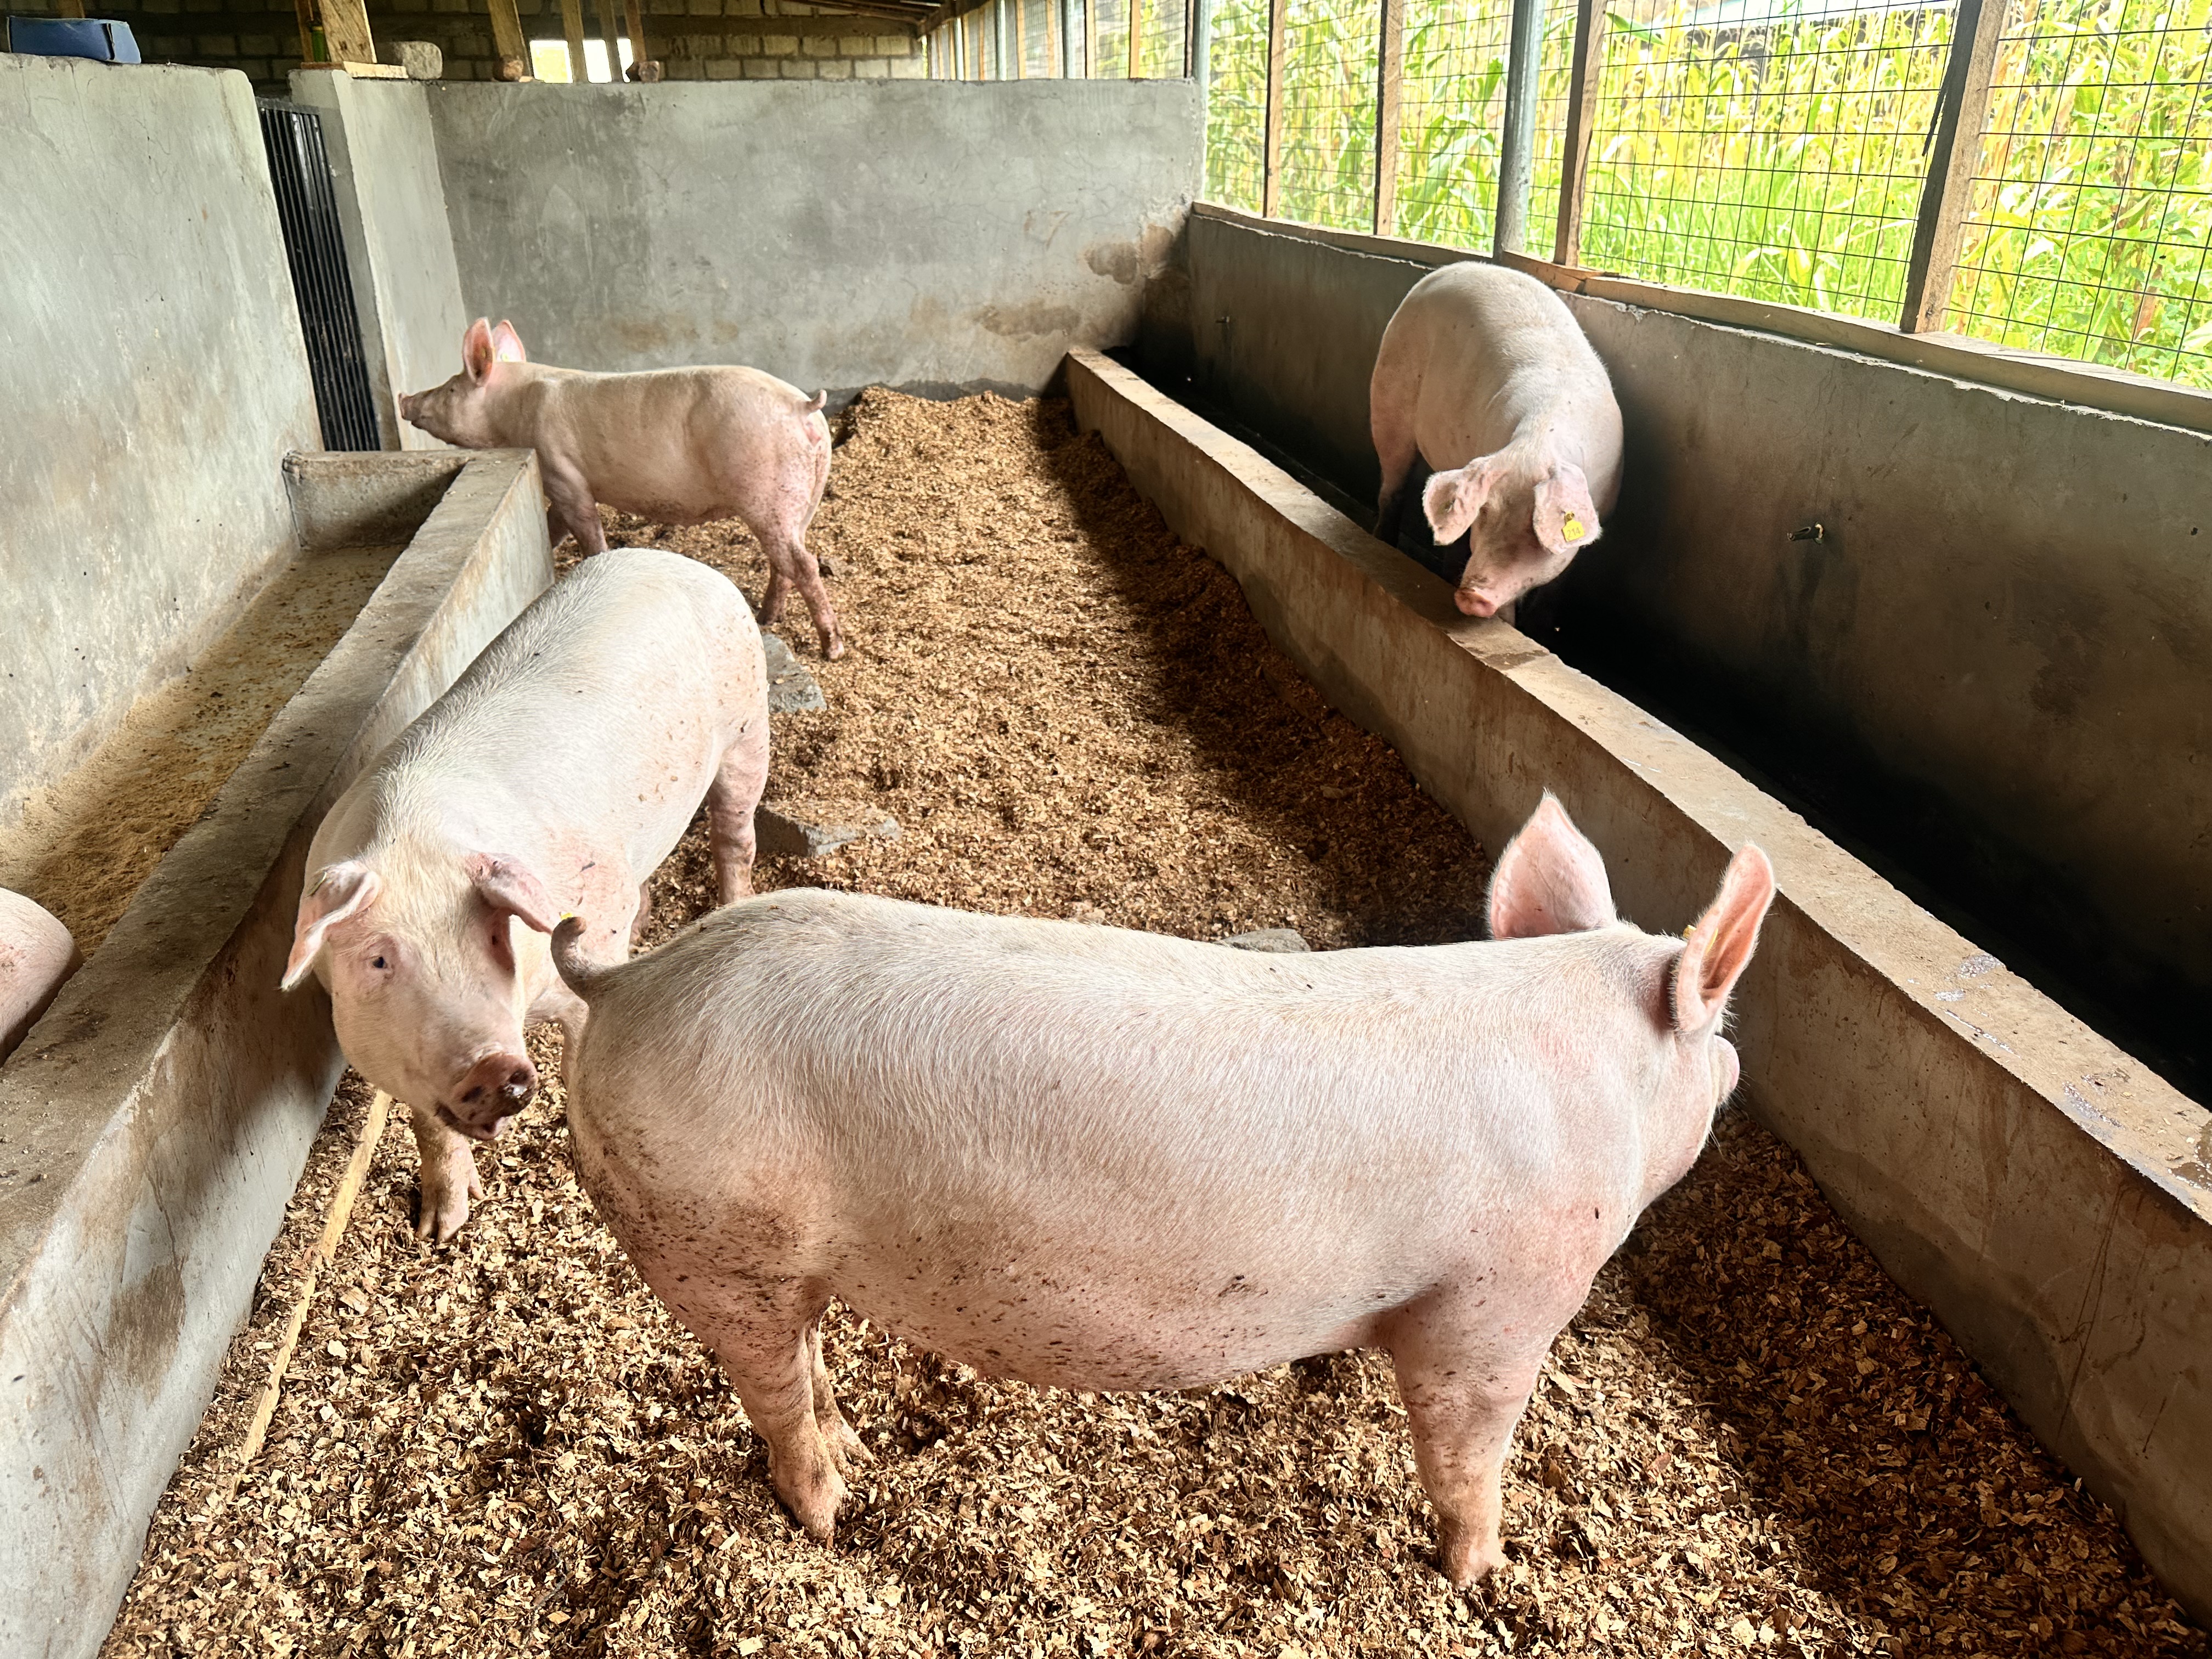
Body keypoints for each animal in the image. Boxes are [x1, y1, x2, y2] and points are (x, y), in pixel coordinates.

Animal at [281, 548, 771, 1242]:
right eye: (378, 960)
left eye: (493, 933)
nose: (493, 1068)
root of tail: (673, 558)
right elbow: (431, 1128)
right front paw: (440, 1233)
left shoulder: (592, 952)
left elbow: (583, 1056)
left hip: (748, 723)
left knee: (735, 831)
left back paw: (730, 903)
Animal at [399, 319, 844, 660]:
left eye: (451, 388)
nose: (405, 399)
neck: (512, 409)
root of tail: (802, 407)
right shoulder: (562, 484)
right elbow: (554, 527)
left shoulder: (563, 474)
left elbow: (586, 530)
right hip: (803, 495)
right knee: (787, 559)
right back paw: (768, 618)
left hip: (764, 488)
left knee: (804, 563)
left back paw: (831, 648)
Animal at [538, 795, 1775, 1582]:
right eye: (1716, 1033)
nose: (1735, 1069)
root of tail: (626, 978)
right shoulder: (1497, 1305)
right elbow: (1467, 1447)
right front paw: (1482, 1577)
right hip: (707, 1231)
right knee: (773, 1393)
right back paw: (835, 1512)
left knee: (803, 1357)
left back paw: (856, 1450)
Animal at [1370, 263, 1624, 619]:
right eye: (1486, 513)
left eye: (1534, 527)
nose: (1472, 595)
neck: (1536, 441)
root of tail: (1440, 272)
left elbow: (1555, 589)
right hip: (1388, 399)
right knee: (1392, 486)